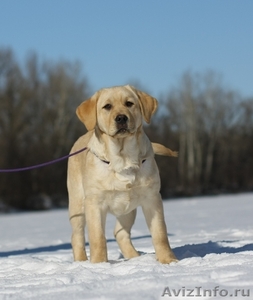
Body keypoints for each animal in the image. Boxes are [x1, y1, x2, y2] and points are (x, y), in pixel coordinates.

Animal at [67, 85, 178, 264]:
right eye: (107, 106)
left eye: (129, 103)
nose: (121, 118)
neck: (123, 158)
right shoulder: (95, 203)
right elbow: (97, 238)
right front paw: (99, 264)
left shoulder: (152, 198)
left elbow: (160, 234)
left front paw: (169, 261)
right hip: (77, 205)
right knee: (77, 236)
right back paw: (81, 261)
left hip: (128, 210)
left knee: (120, 233)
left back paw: (135, 258)